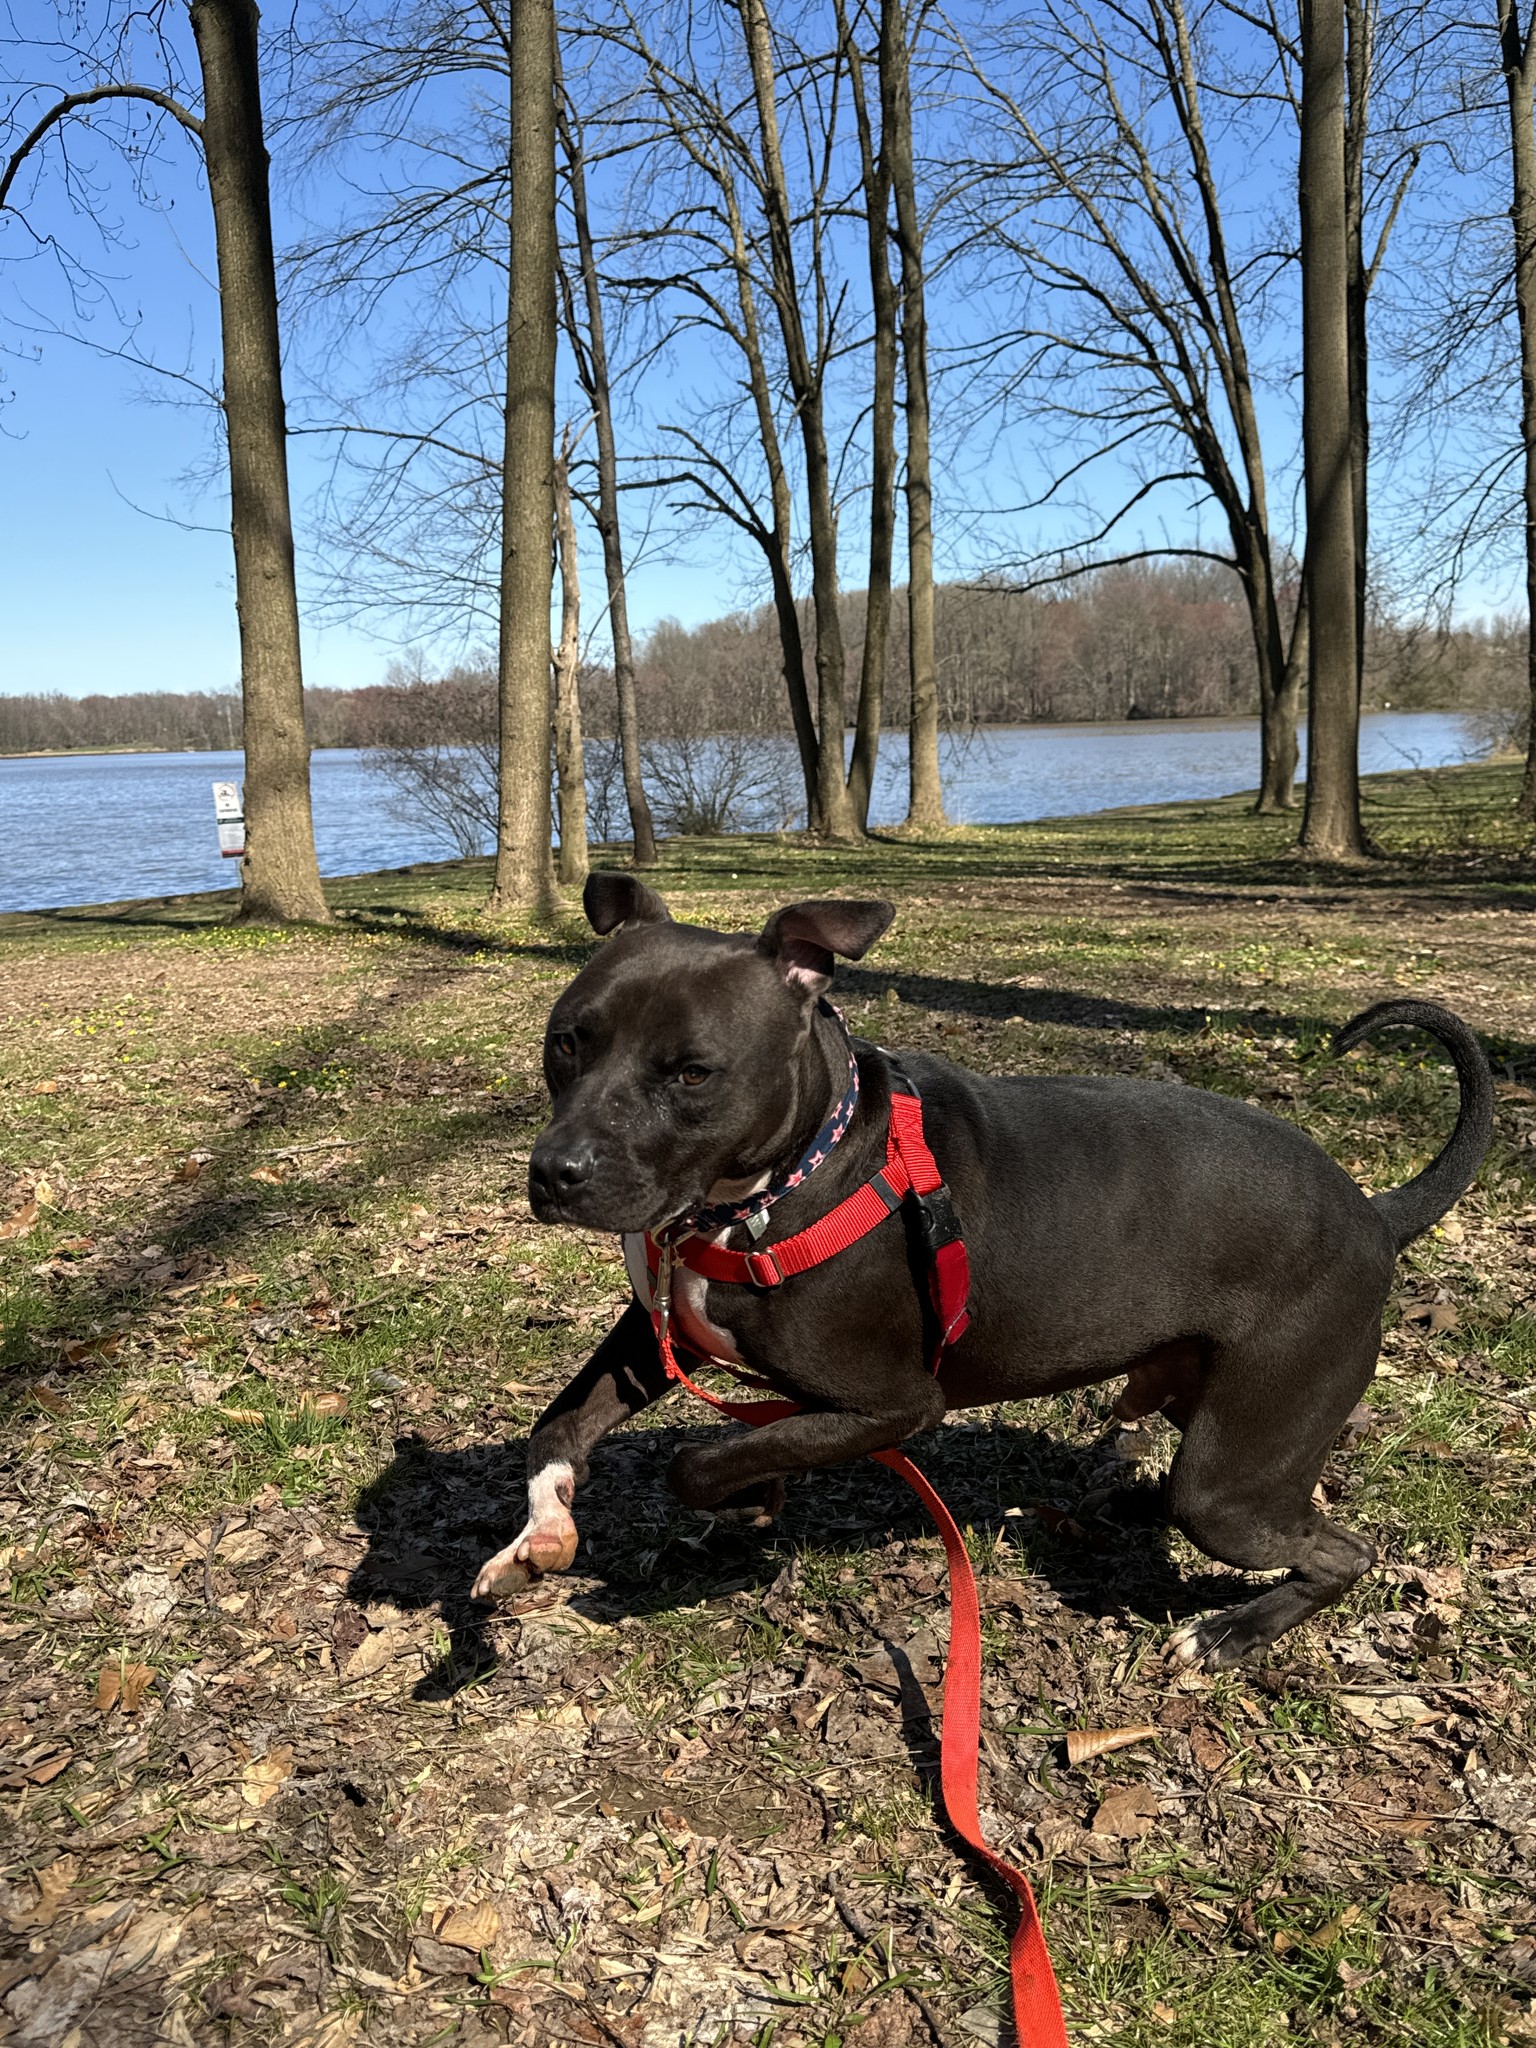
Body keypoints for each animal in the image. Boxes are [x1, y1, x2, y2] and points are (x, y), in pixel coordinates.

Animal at [475, 876, 1499, 1662]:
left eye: (691, 1072)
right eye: (568, 1040)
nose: (555, 1172)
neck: (776, 1185)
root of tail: (1372, 1210)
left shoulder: (892, 1407)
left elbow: (699, 1459)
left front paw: (740, 1499)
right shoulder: (662, 1330)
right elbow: (560, 1426)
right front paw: (542, 1535)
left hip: (1232, 1479)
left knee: (1340, 1550)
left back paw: (1233, 1633)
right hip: (1198, 1401)